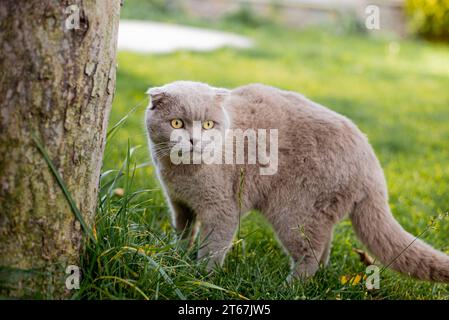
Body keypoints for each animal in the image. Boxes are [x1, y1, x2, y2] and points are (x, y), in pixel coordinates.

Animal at [146, 80, 448, 282]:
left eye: (208, 124)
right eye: (176, 123)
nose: (194, 140)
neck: (181, 172)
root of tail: (370, 161)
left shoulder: (222, 209)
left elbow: (212, 247)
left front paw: (201, 277)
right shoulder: (179, 204)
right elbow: (184, 232)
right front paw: (176, 257)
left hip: (294, 210)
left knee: (310, 253)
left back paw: (290, 286)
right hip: (317, 211)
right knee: (324, 244)